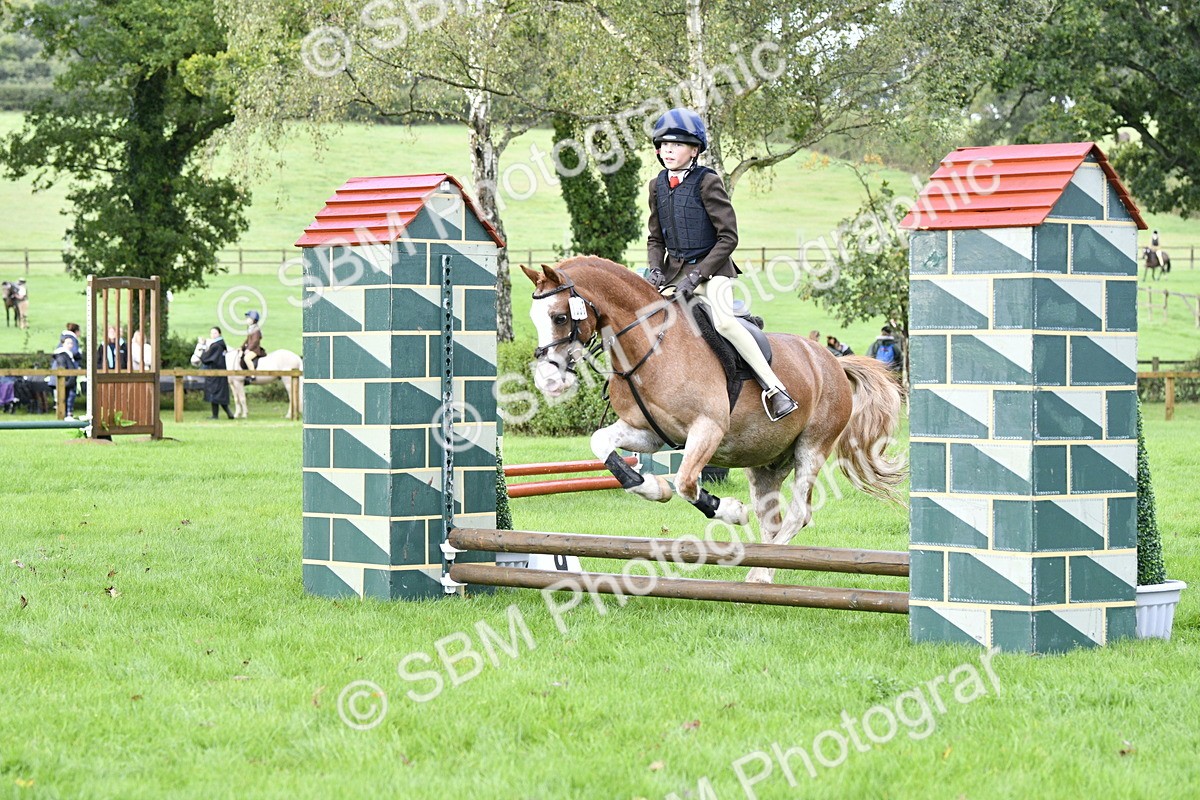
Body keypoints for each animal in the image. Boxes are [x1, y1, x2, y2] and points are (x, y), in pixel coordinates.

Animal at [523, 256, 906, 583]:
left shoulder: (707, 428)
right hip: (766, 463)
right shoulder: (648, 433)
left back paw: (761, 575)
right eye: (535, 317)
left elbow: (686, 482)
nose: (548, 380)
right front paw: (653, 487)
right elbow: (602, 444)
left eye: (559, 317)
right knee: (772, 519)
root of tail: (832, 361)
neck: (649, 345)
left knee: (798, 513)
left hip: (811, 448)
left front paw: (731, 510)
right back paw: (762, 572)